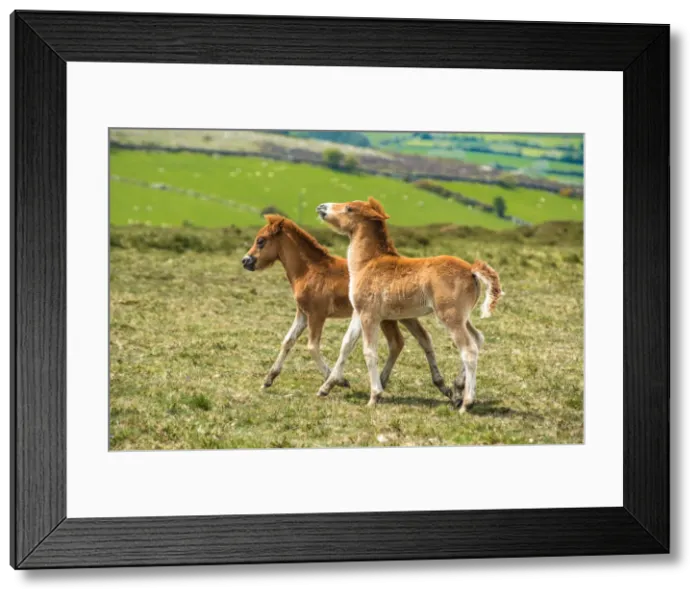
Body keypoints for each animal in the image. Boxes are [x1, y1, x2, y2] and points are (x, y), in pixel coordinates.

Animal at [241, 214, 452, 397]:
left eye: (261, 240)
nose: (245, 261)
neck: (310, 270)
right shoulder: (302, 313)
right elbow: (288, 341)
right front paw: (268, 379)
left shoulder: (317, 314)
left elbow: (312, 346)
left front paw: (338, 381)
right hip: (402, 315)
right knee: (417, 340)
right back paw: (438, 385)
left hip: (390, 317)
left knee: (401, 342)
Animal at [315, 198, 503, 413]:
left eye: (349, 208)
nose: (321, 207)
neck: (368, 263)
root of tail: (472, 270)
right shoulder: (359, 313)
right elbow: (346, 345)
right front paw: (325, 387)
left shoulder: (369, 315)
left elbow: (369, 352)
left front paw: (374, 396)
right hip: (463, 317)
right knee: (478, 338)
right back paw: (457, 386)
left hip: (450, 317)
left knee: (469, 350)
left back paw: (466, 403)